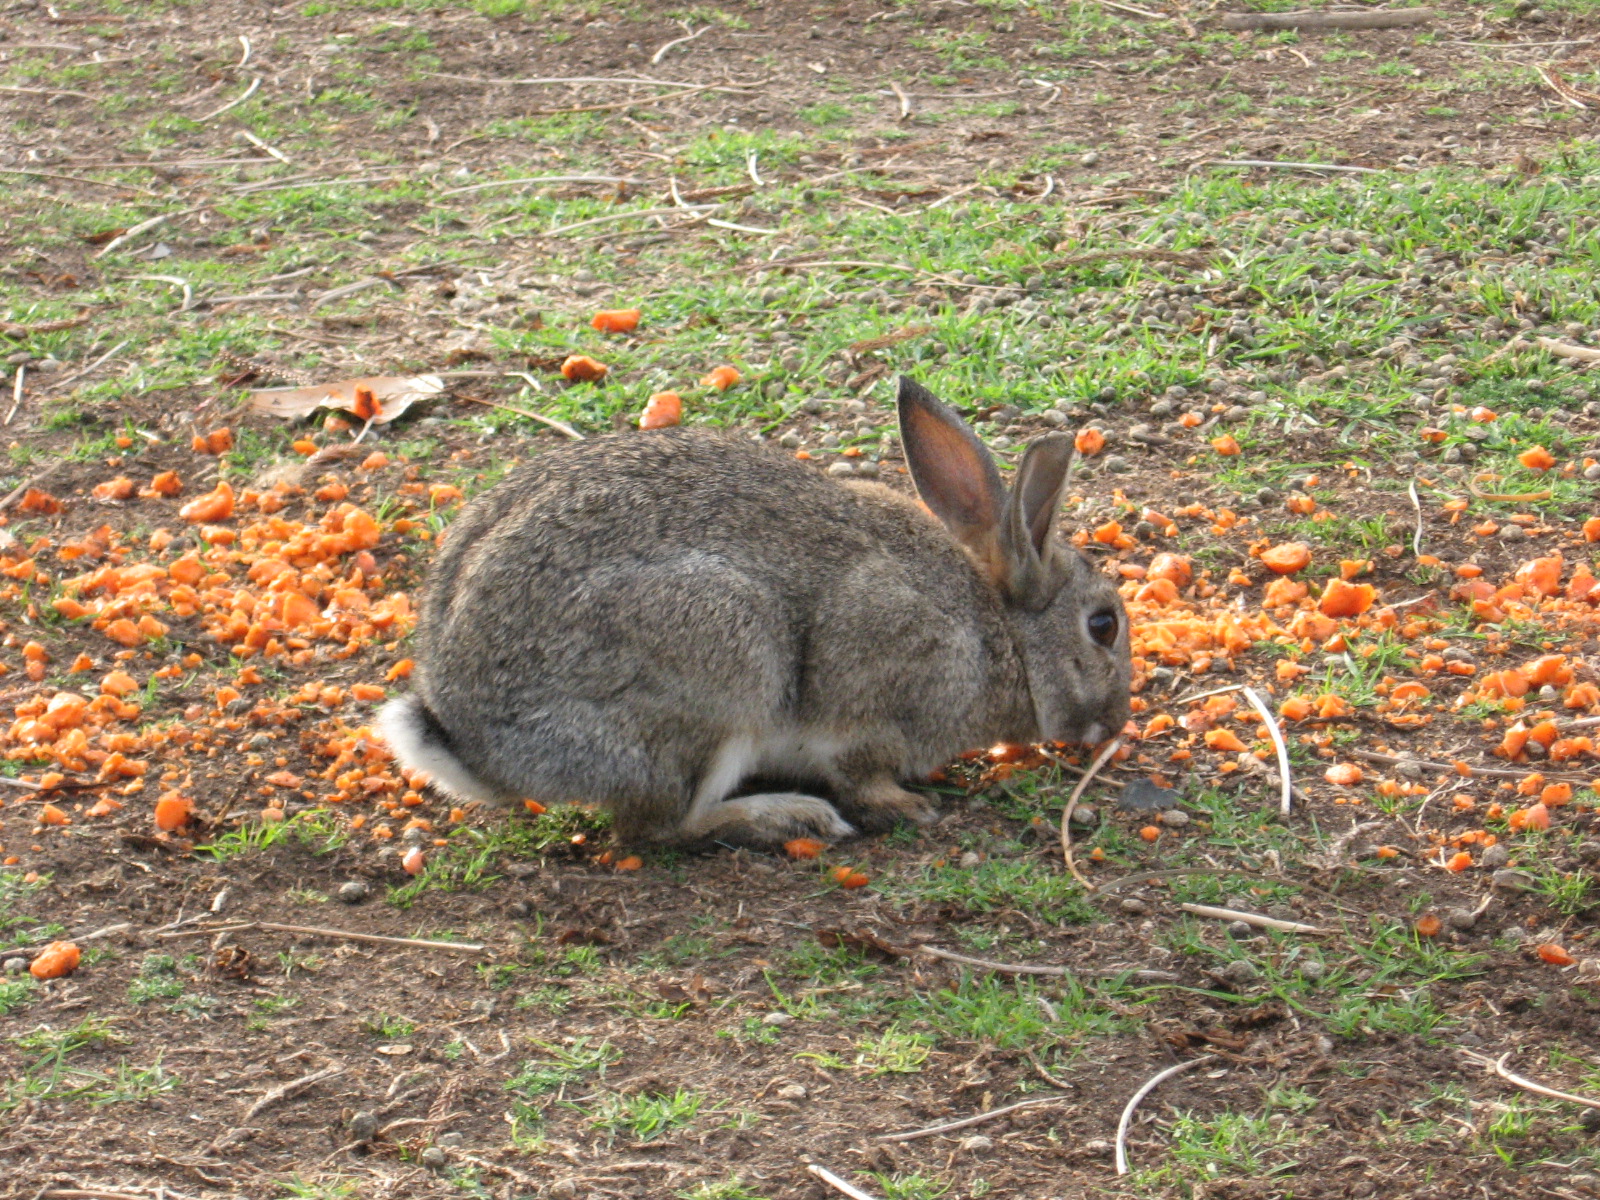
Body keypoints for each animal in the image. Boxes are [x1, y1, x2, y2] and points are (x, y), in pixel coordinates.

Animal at [384, 376, 1139, 844]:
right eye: (1102, 625)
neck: (998, 632)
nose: (1114, 724)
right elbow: (860, 770)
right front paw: (908, 806)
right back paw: (789, 819)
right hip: (722, 663)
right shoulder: (872, 686)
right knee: (659, 826)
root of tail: (482, 752)